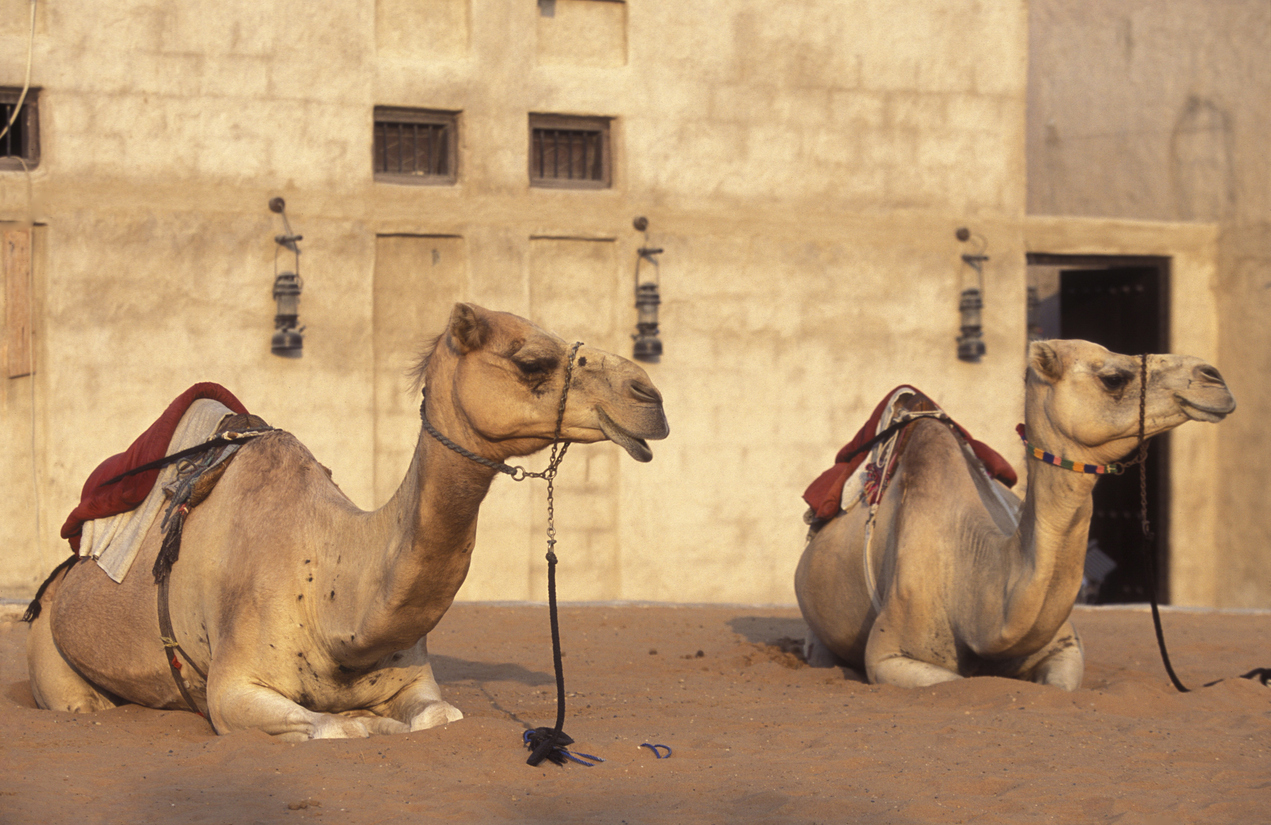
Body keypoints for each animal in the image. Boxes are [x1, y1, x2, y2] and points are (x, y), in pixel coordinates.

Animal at [24, 302, 671, 742]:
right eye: (532, 360)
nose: (651, 396)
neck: (331, 591)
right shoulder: (232, 691)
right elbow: (339, 726)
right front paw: (363, 719)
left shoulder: (416, 683)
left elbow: (441, 715)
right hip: (49, 649)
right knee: (81, 704)